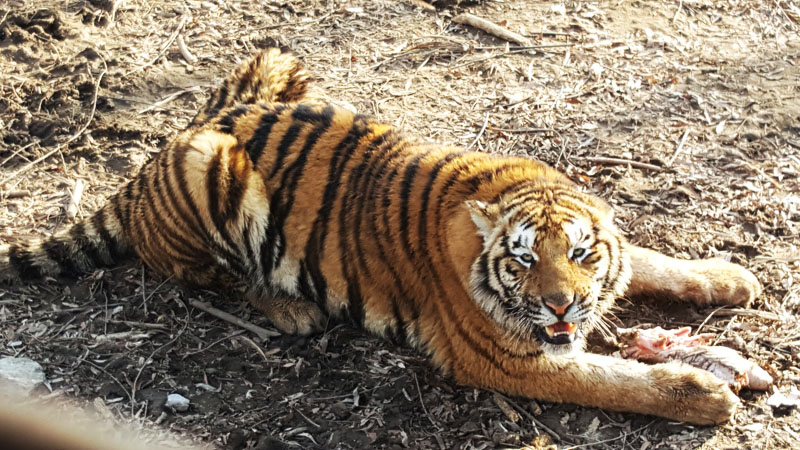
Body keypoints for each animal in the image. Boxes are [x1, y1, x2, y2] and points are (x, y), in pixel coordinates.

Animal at [0, 48, 764, 426]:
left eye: (580, 254)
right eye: (521, 261)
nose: (560, 306)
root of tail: (155, 154)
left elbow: (653, 260)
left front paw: (730, 277)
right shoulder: (507, 359)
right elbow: (613, 382)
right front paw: (704, 396)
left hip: (278, 66)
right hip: (209, 166)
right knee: (210, 277)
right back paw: (292, 308)